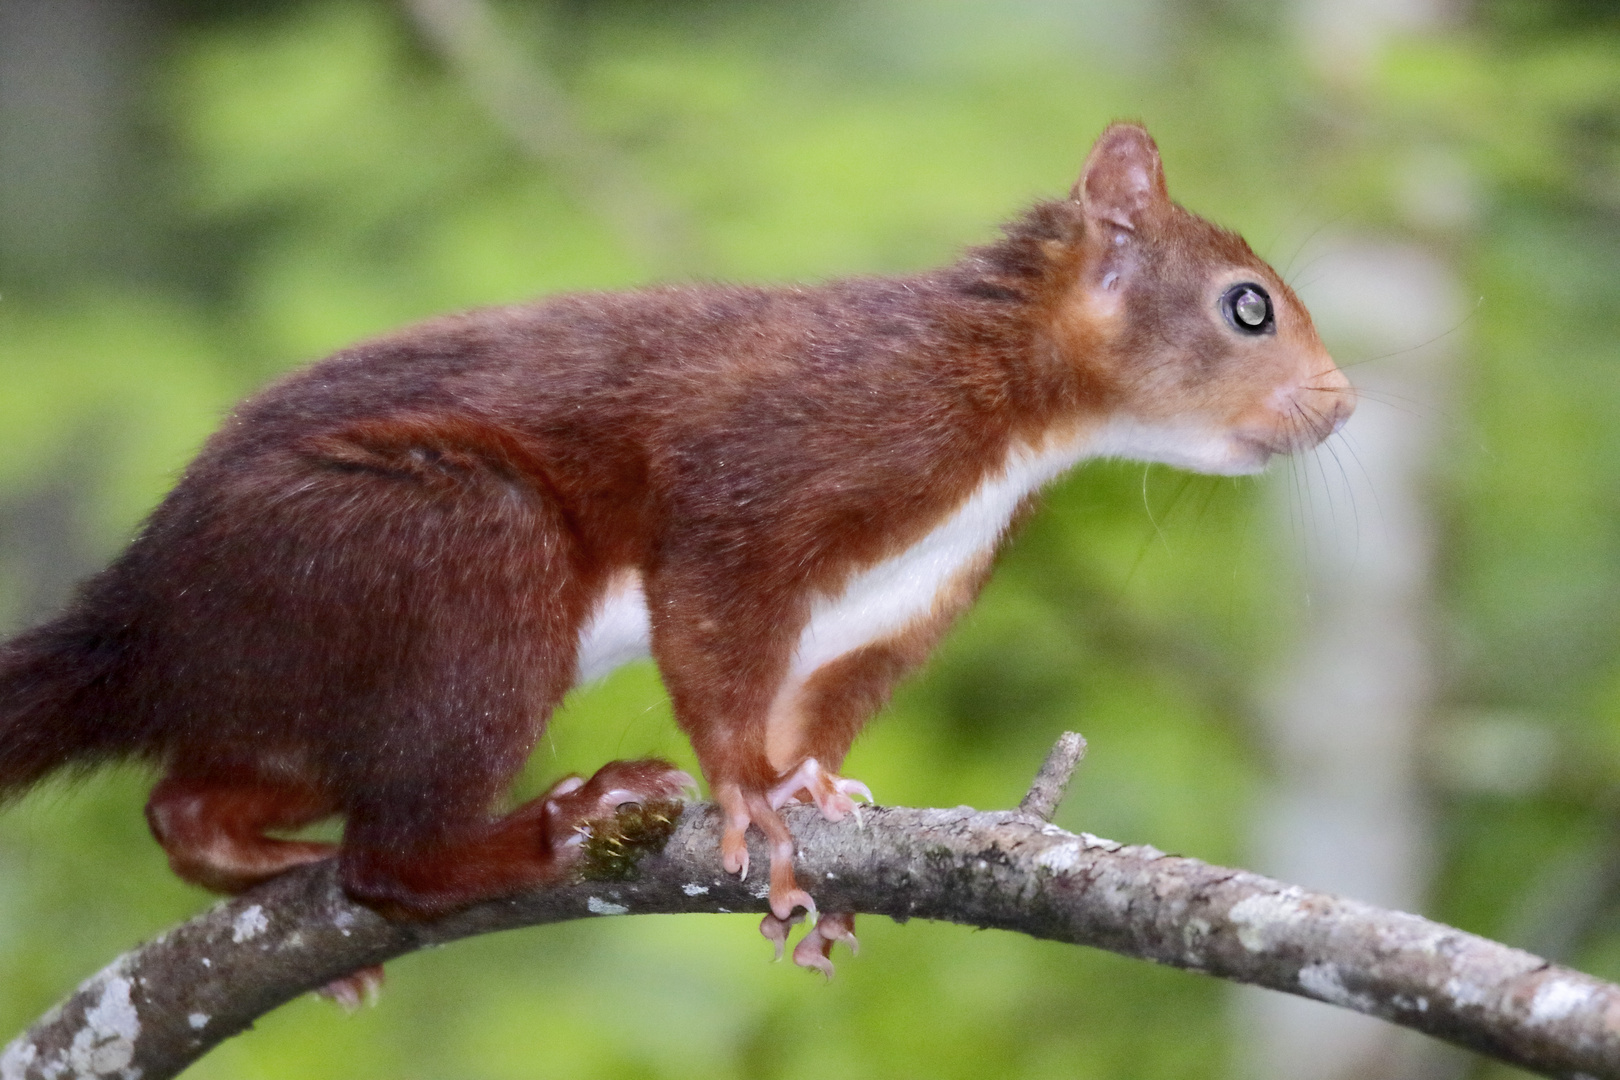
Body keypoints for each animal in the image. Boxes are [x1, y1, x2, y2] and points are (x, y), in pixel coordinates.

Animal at [0, 124, 1341, 977]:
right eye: (1249, 305)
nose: (1341, 404)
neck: (1009, 415)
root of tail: (145, 616)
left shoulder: (910, 593)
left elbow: (824, 699)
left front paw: (814, 800)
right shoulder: (780, 466)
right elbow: (713, 610)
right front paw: (750, 794)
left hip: (293, 691)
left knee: (186, 802)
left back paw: (259, 855)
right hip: (439, 554)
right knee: (389, 860)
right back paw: (549, 825)